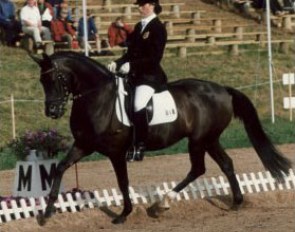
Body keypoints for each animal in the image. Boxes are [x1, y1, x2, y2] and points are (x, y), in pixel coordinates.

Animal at [30, 51, 292, 225]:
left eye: (56, 79)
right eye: (42, 81)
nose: (52, 111)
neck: (98, 98)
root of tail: (222, 89)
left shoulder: (116, 152)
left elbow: (122, 182)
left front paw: (124, 214)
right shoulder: (84, 145)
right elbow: (60, 168)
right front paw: (47, 213)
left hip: (199, 140)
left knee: (198, 168)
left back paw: (163, 203)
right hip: (209, 139)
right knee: (226, 164)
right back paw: (236, 202)